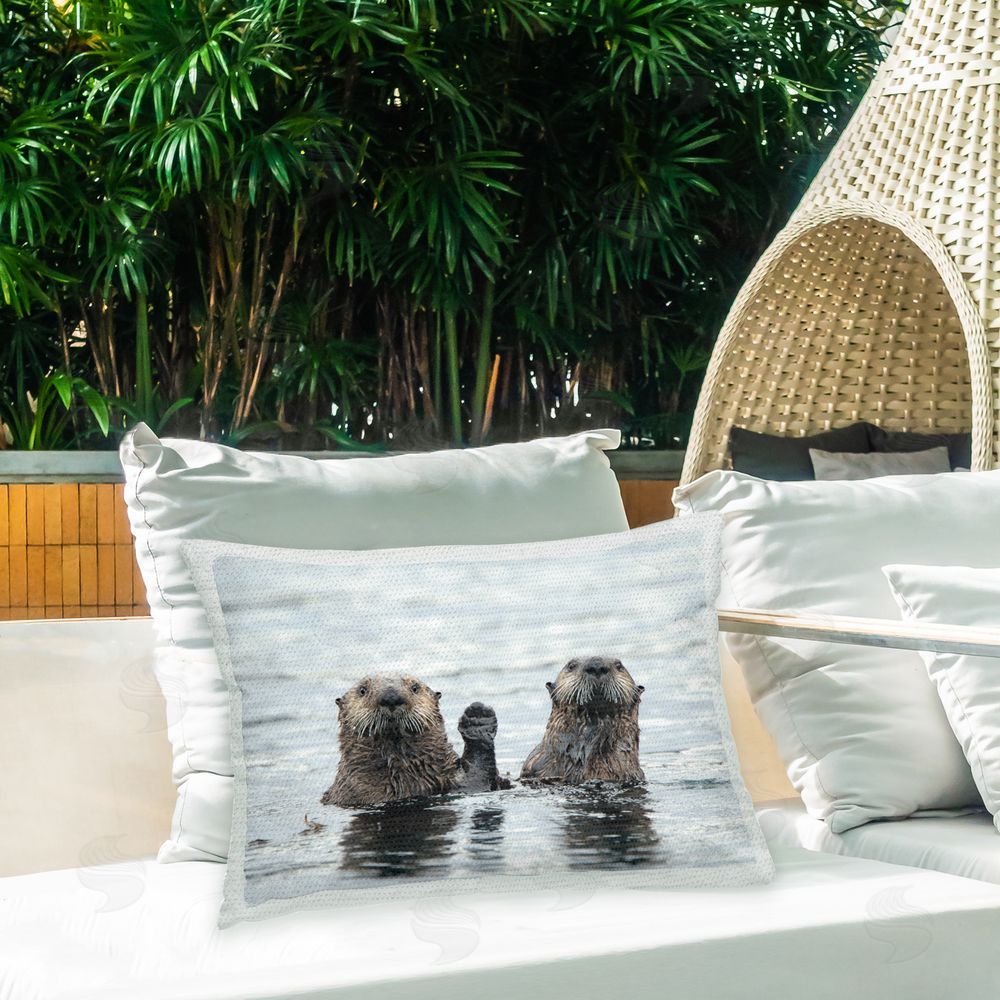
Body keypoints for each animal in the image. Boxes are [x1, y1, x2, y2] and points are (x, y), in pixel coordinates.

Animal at [321, 674, 504, 807]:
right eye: (362, 690)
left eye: (415, 687)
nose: (391, 697)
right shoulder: (357, 790)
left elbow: (476, 781)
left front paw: (478, 716)